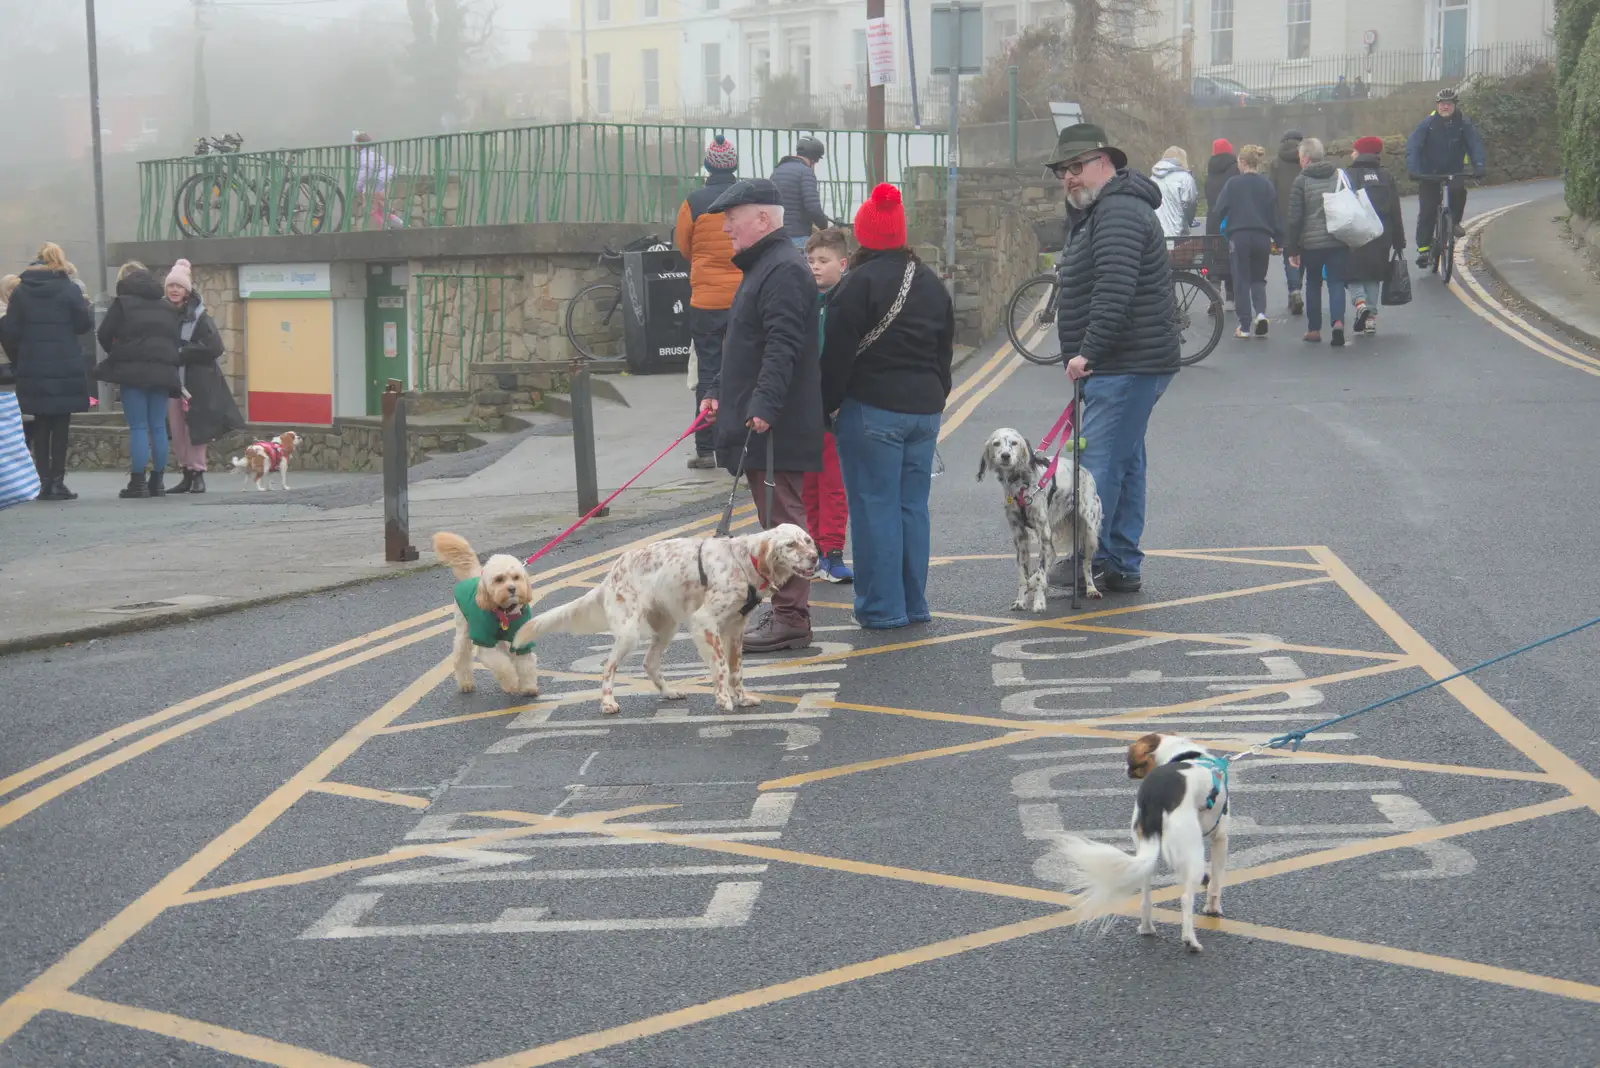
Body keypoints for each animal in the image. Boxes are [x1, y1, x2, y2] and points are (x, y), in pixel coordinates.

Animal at [972, 422, 1100, 607]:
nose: (1005, 456)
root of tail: (1085, 471)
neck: (1020, 485)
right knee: (1052, 555)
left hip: (1089, 533)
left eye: (1014, 443)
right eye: (996, 443)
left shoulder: (1043, 532)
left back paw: (1091, 589)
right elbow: (1023, 573)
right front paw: (1021, 600)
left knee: (1086, 564)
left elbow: (1040, 572)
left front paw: (1039, 602)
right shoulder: (1020, 536)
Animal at [1056, 735, 1228, 952]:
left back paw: (1146, 928)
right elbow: (1216, 884)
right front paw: (1213, 908)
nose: (1124, 768)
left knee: (1146, 899)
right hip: (1192, 850)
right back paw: (1191, 940)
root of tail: (1155, 797)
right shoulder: (1220, 837)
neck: (1180, 753)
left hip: (1147, 854)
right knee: (1186, 898)